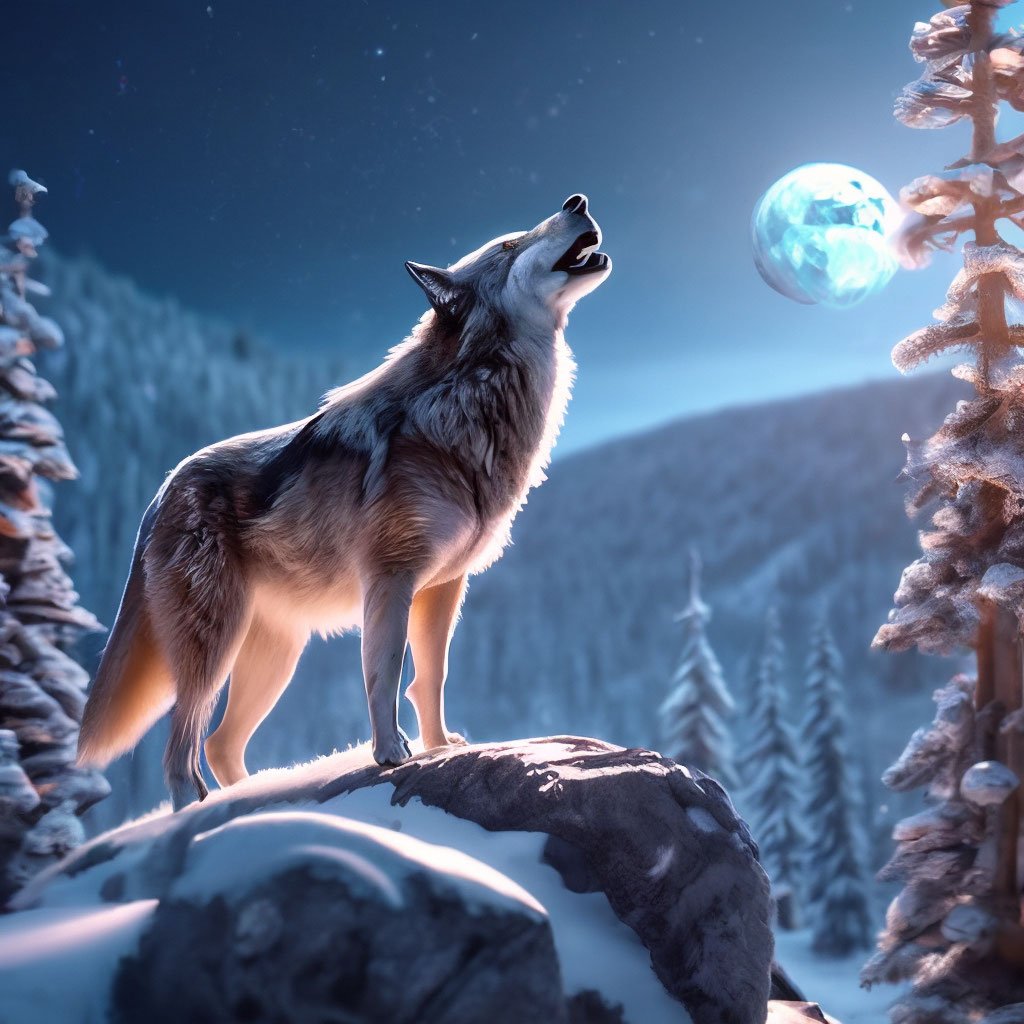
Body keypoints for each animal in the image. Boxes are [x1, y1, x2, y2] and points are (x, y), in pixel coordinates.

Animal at [77, 194, 611, 809]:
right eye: (510, 244)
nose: (577, 200)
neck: (464, 401)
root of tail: (161, 491)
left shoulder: (444, 588)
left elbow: (430, 678)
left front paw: (438, 747)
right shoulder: (391, 579)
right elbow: (384, 673)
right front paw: (391, 753)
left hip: (274, 658)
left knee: (217, 744)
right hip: (215, 649)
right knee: (180, 753)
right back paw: (193, 812)